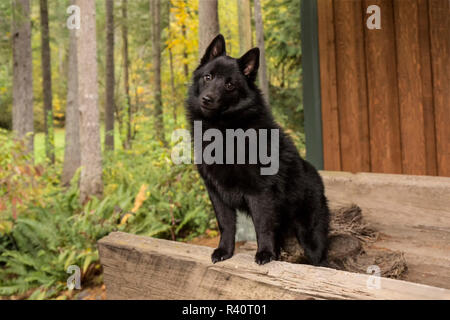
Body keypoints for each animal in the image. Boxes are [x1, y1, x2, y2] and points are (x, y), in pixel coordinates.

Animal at [185, 34, 328, 264]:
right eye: (208, 77)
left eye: (229, 85)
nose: (207, 99)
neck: (224, 131)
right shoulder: (216, 193)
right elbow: (226, 225)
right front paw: (224, 251)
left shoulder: (260, 192)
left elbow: (262, 226)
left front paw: (265, 253)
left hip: (310, 234)